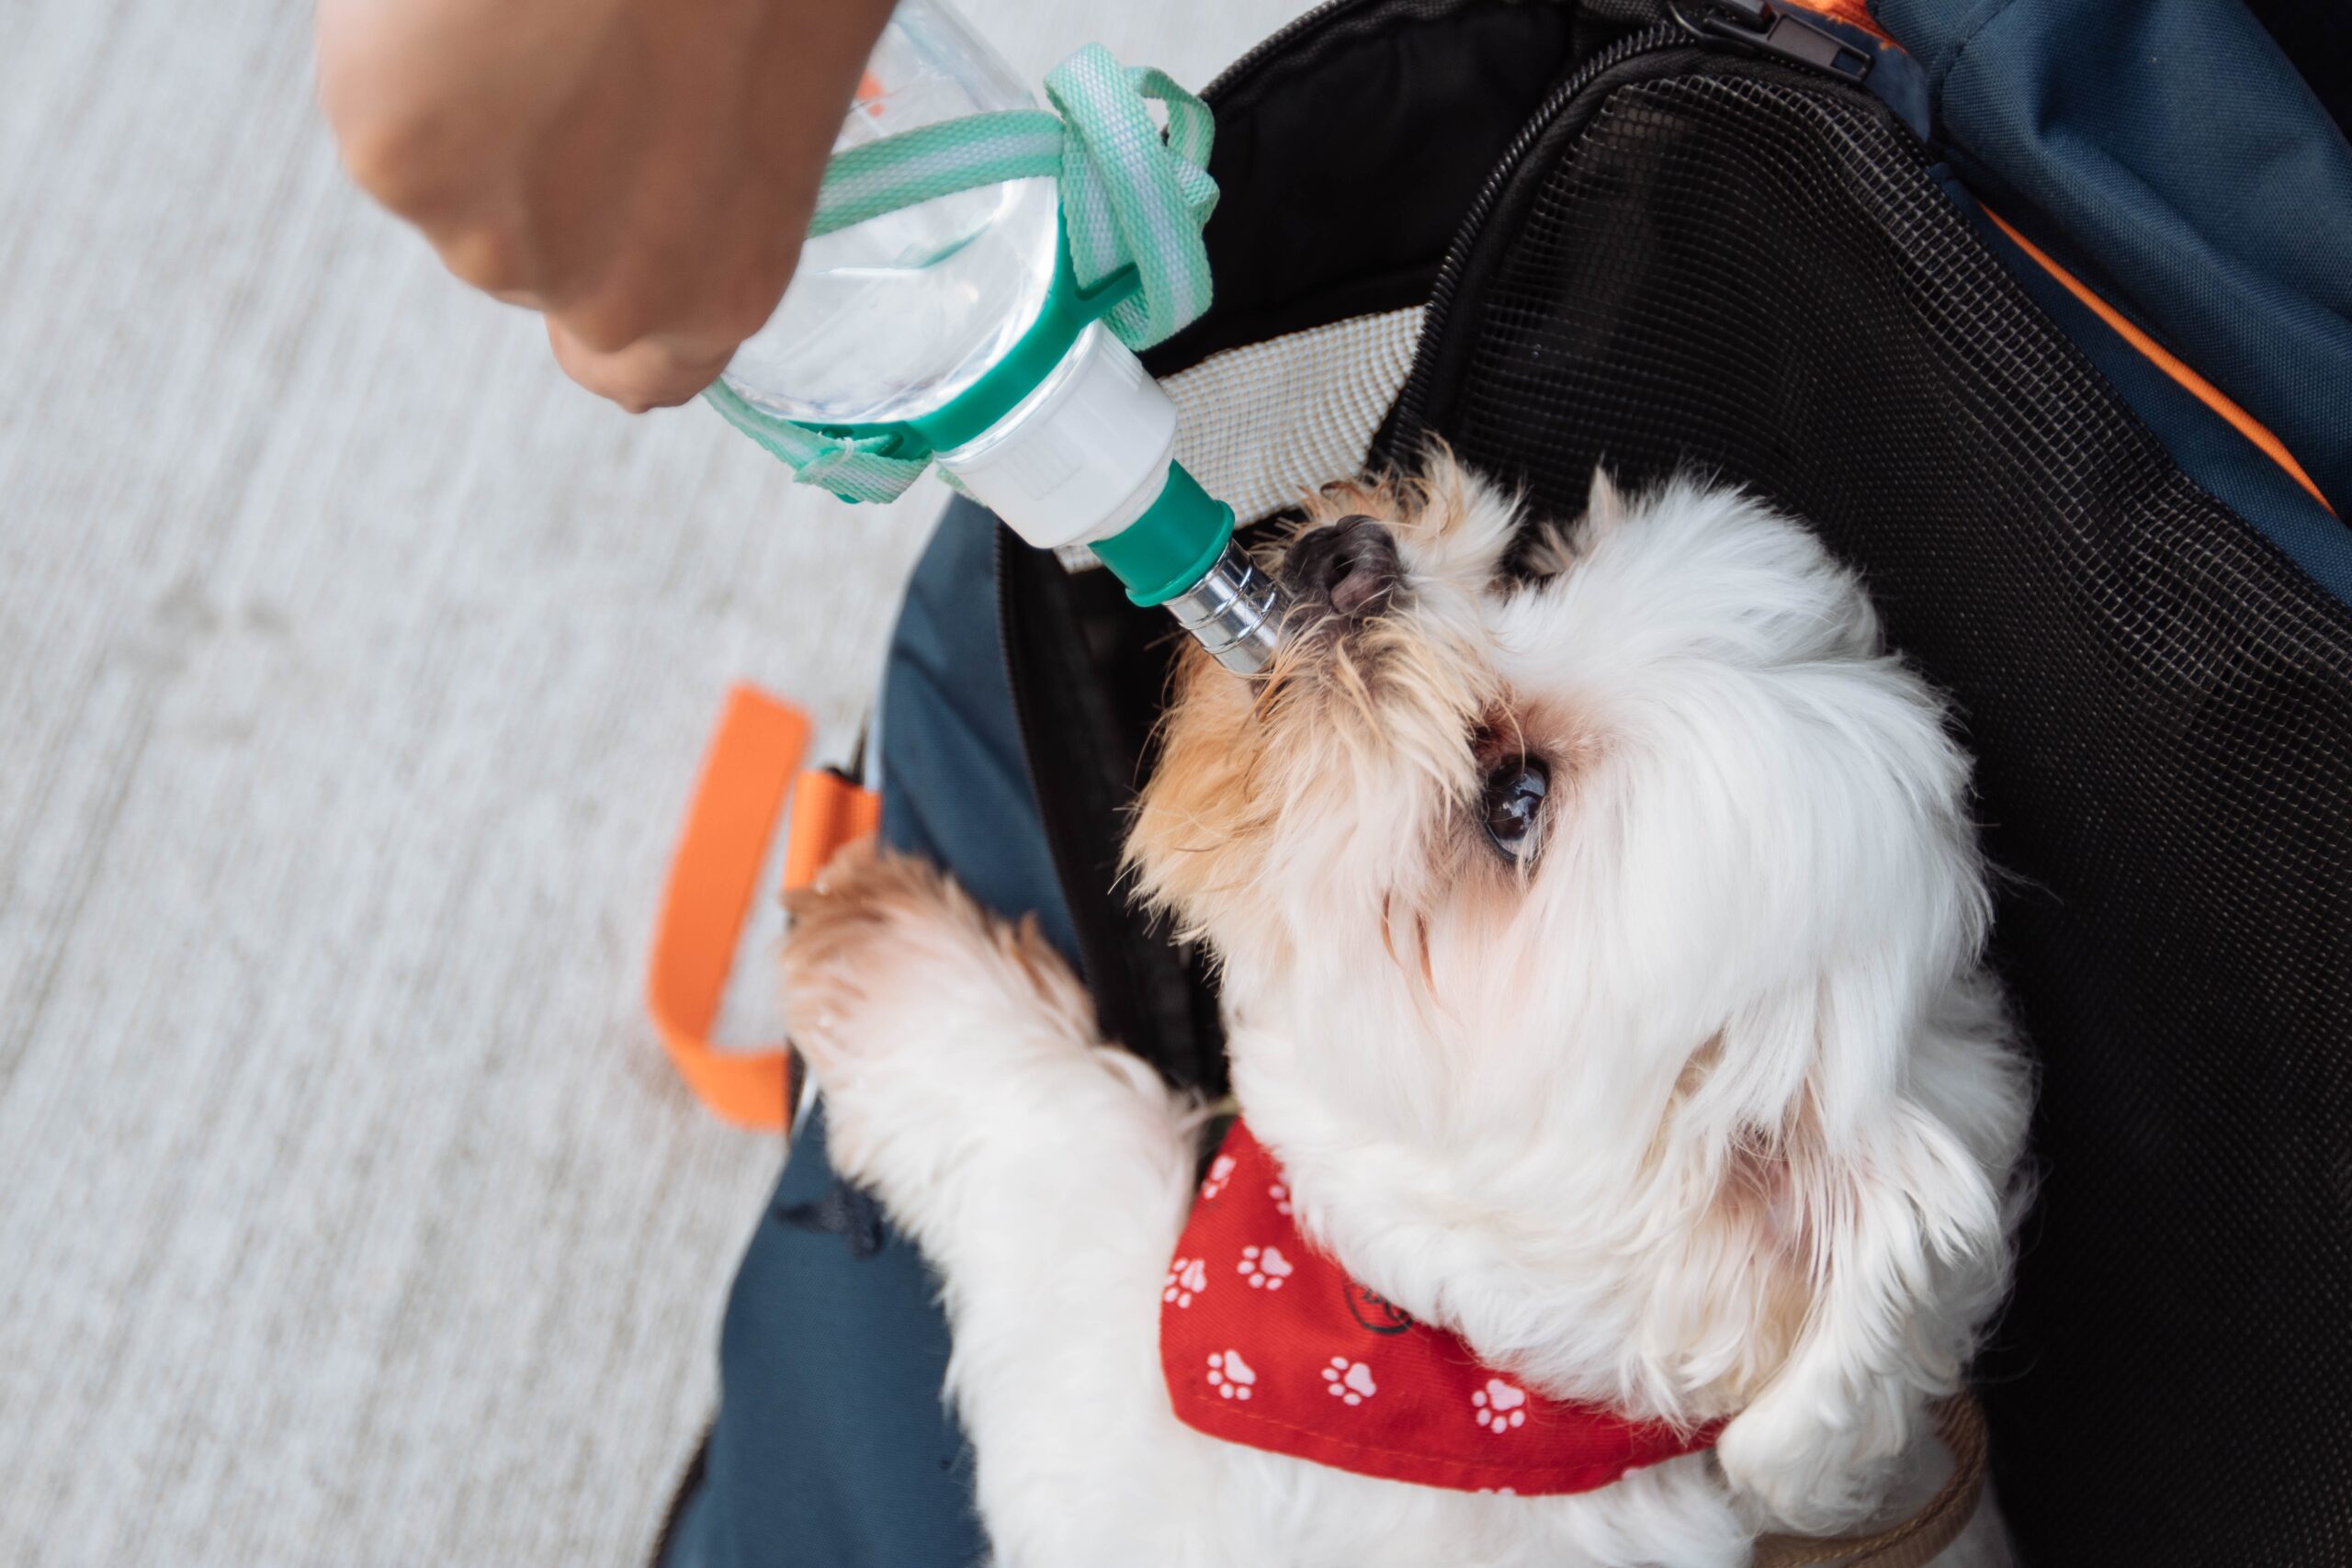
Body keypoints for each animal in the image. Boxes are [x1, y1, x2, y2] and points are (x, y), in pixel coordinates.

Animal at [780, 446, 2031, 1561]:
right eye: (1535, 569)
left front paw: (895, 960)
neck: (1431, 1369)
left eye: (1514, 802)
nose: (1352, 559)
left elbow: (1070, 1173)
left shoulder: (1132, 1476)